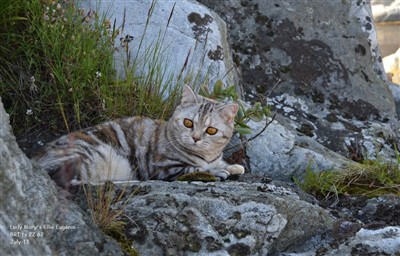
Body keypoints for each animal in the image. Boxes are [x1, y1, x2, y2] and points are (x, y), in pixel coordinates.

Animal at [34, 85, 245, 189]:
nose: (195, 138)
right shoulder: (162, 167)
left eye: (211, 131)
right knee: (71, 181)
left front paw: (232, 166)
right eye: (188, 123)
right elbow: (194, 168)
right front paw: (217, 171)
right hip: (89, 154)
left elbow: (220, 163)